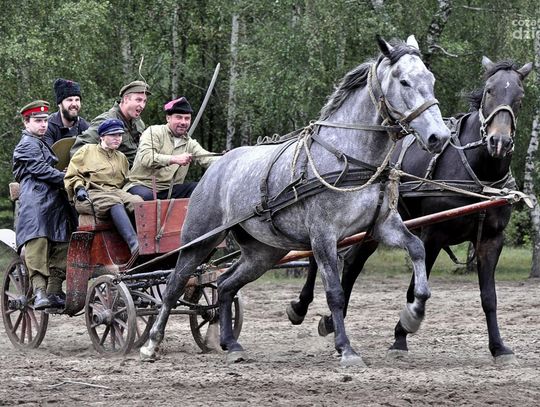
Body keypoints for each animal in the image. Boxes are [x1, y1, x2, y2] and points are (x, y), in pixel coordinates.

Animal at [140, 35, 450, 367]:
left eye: (431, 79)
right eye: (403, 81)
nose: (440, 137)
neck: (349, 157)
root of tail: (217, 165)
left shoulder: (383, 225)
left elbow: (417, 249)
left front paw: (412, 316)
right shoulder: (324, 235)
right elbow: (335, 292)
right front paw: (346, 348)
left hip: (263, 253)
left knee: (224, 286)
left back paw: (230, 344)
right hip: (199, 240)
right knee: (174, 285)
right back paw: (151, 343)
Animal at [287, 56, 533, 364]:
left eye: (520, 97)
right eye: (489, 91)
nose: (498, 142)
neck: (477, 174)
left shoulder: (491, 240)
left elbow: (489, 297)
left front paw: (499, 347)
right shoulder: (433, 235)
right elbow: (411, 290)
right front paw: (401, 333)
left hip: (372, 229)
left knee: (352, 264)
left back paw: (331, 321)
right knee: (317, 259)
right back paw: (300, 306)